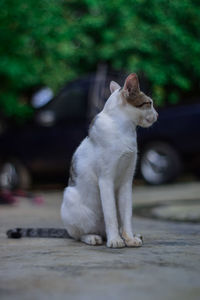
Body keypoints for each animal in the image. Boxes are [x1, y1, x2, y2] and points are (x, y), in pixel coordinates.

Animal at [61, 73, 158, 248]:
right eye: (149, 103)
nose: (157, 115)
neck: (126, 130)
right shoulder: (105, 180)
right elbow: (111, 214)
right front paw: (115, 240)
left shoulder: (127, 181)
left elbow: (126, 215)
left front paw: (129, 238)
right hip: (70, 198)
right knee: (78, 234)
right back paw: (94, 237)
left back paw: (131, 235)